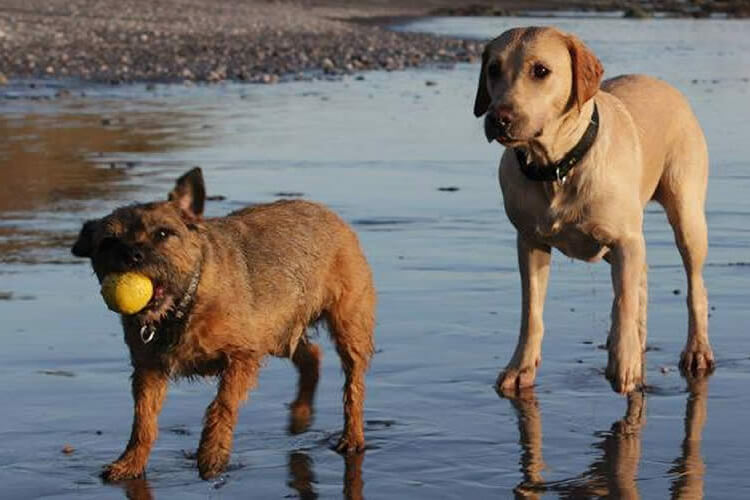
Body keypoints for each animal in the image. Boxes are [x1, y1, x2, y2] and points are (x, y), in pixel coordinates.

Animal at [72, 168, 376, 480]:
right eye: (109, 242)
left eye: (162, 233)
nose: (132, 256)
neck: (183, 306)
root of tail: (327, 213)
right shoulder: (149, 371)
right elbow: (143, 420)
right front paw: (131, 461)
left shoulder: (243, 356)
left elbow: (223, 403)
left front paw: (212, 453)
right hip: (277, 330)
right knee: (312, 356)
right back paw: (300, 416)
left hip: (347, 325)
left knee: (353, 384)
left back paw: (352, 436)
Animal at [476, 27, 716, 394]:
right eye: (493, 68)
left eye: (541, 70)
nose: (497, 119)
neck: (557, 167)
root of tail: (667, 86)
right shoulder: (529, 241)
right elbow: (531, 311)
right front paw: (520, 368)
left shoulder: (625, 239)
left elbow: (624, 301)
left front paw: (624, 362)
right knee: (643, 279)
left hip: (687, 213)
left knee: (694, 285)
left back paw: (695, 350)